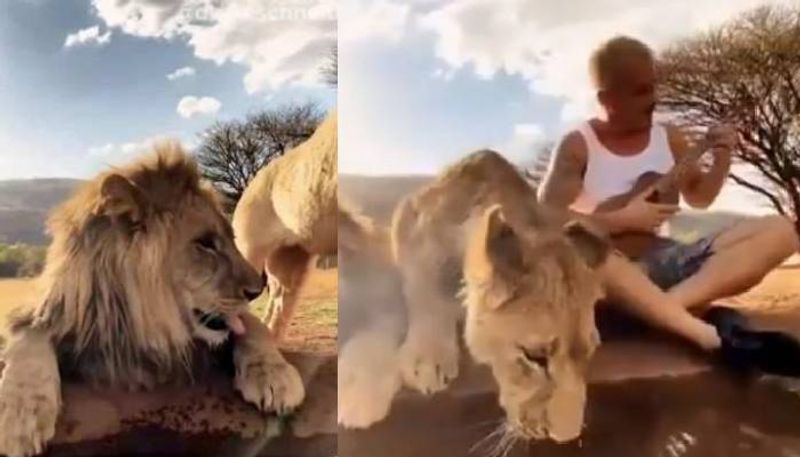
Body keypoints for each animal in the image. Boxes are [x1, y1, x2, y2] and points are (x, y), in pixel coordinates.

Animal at [0, 145, 304, 456]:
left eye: (230, 238)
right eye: (205, 243)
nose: (258, 289)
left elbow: (254, 330)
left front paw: (276, 378)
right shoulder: (49, 312)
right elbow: (28, 342)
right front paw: (19, 418)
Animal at [392, 150, 608, 442]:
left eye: (590, 350)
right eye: (534, 356)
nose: (567, 437)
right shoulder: (414, 227)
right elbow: (425, 289)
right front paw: (426, 361)